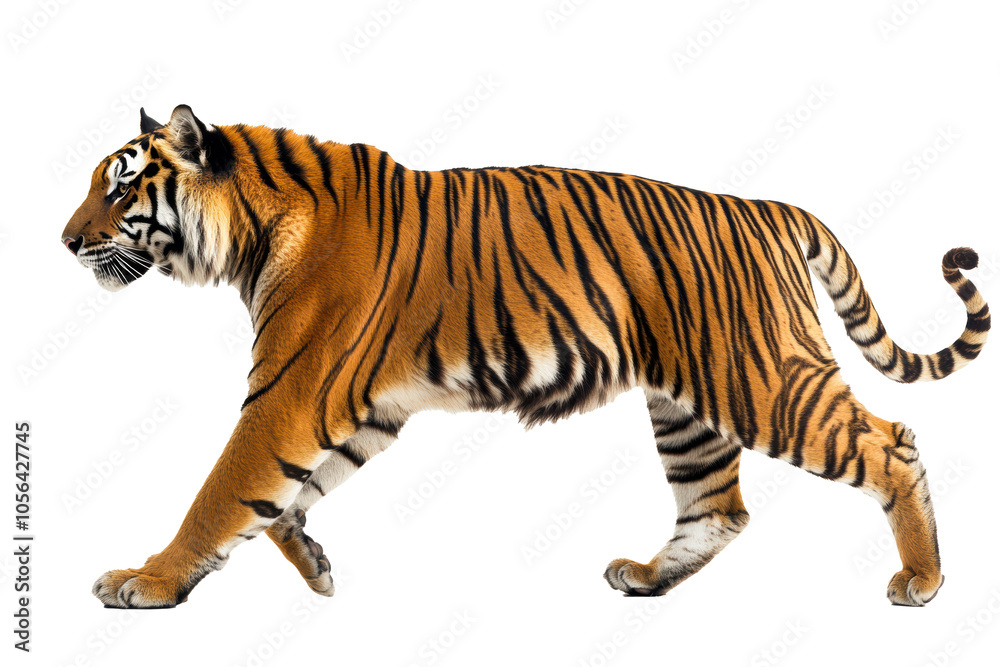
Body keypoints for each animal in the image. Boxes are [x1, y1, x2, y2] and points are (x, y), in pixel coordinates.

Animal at [61, 105, 989, 609]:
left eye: (120, 185)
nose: (66, 240)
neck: (249, 230)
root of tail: (768, 205)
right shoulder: (365, 410)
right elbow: (286, 497)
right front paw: (314, 563)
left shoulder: (289, 394)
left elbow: (219, 492)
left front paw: (147, 580)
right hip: (688, 405)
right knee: (719, 508)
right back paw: (646, 577)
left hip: (764, 379)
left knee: (892, 444)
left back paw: (923, 579)